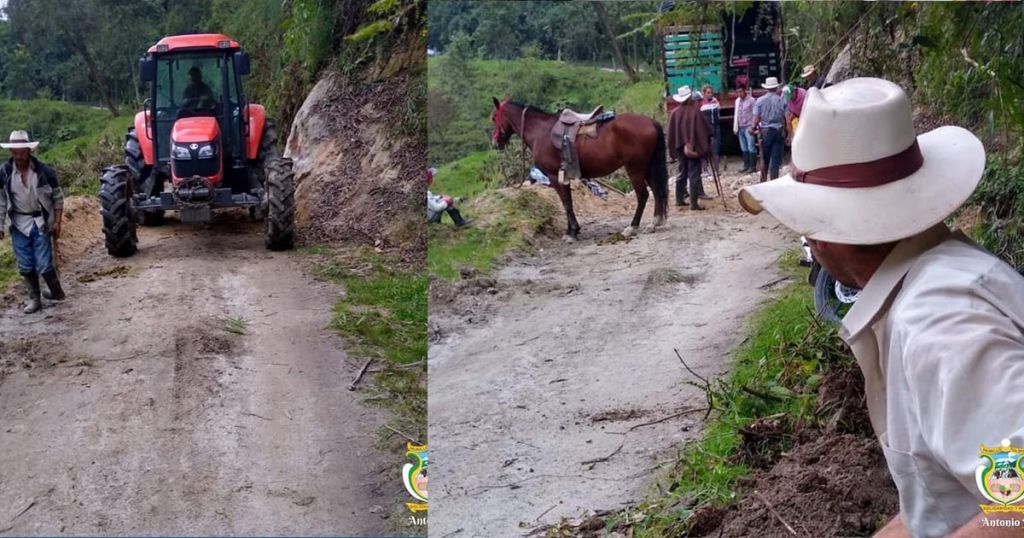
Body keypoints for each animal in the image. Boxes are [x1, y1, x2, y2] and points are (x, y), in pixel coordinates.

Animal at [489, 97, 667, 240]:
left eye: (494, 117)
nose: (496, 143)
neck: (541, 131)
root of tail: (650, 121)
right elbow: (568, 202)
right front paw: (573, 230)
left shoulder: (554, 176)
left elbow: (566, 203)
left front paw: (571, 232)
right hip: (647, 166)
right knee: (657, 190)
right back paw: (655, 222)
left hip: (635, 168)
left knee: (643, 195)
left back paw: (632, 227)